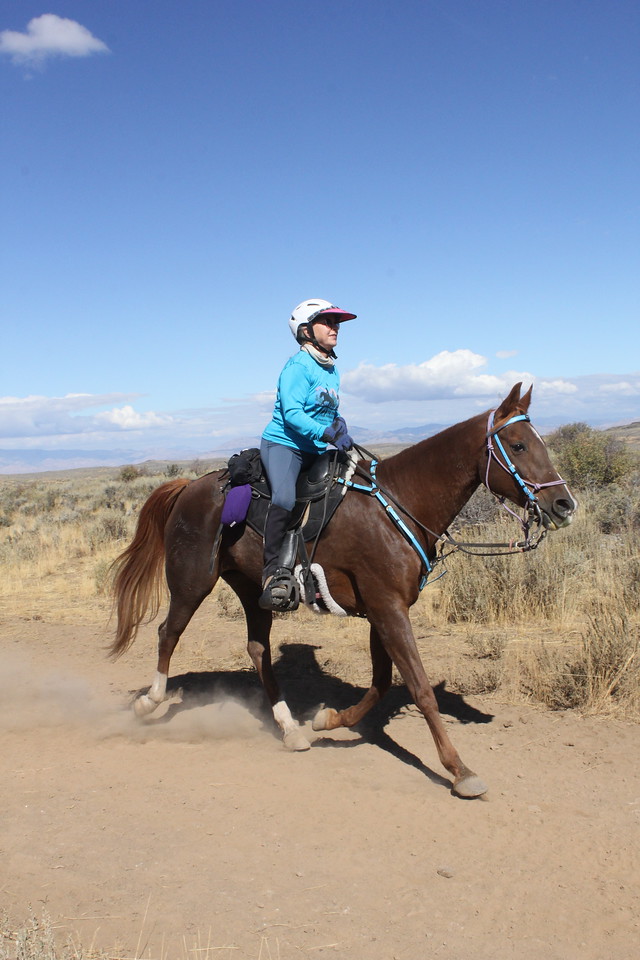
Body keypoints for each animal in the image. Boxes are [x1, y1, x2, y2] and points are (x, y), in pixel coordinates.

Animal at [109, 382, 576, 796]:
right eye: (518, 445)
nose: (564, 505)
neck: (399, 502)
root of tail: (189, 486)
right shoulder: (387, 609)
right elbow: (421, 688)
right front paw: (459, 770)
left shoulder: (384, 610)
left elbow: (382, 683)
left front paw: (327, 721)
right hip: (191, 582)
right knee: (168, 633)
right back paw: (149, 702)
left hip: (252, 590)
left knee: (258, 649)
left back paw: (290, 728)